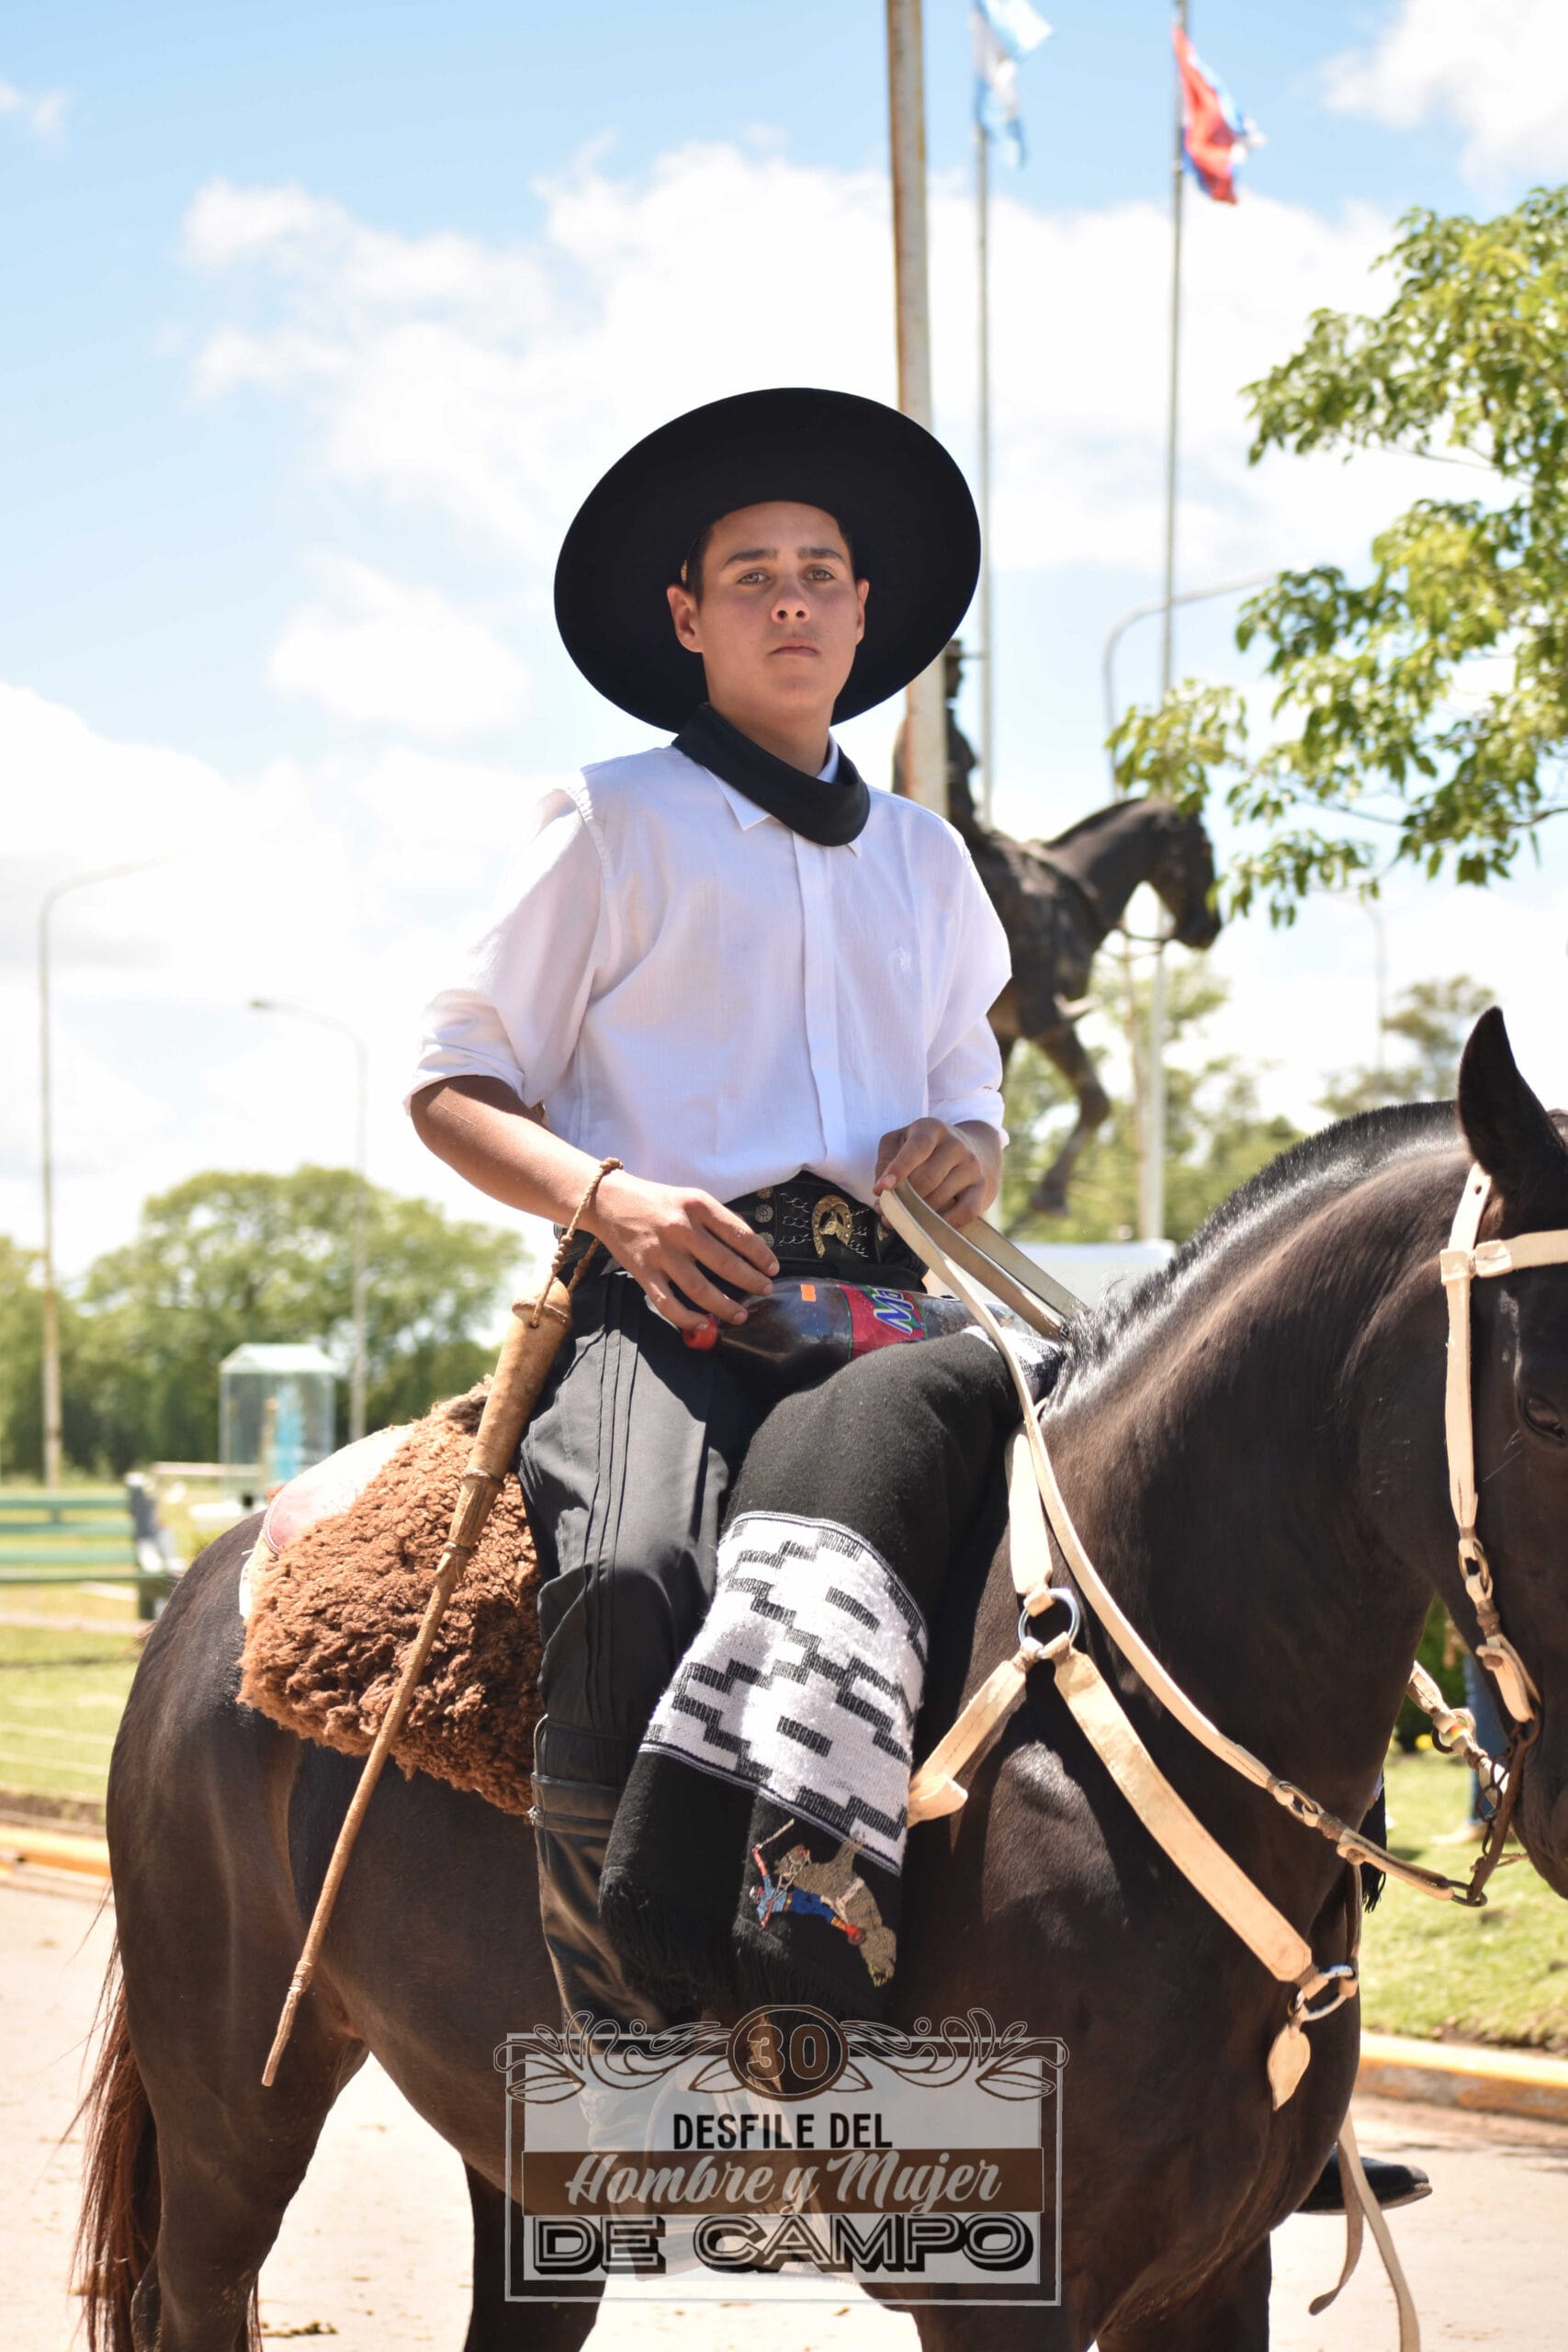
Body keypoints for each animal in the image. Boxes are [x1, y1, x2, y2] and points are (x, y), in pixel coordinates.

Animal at [77, 1007, 1568, 2350]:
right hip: (231, 2105)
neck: (1103, 1719)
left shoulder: (1210, 2276)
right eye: (1548, 1402)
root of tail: (217, 1578)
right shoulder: (998, 2287)